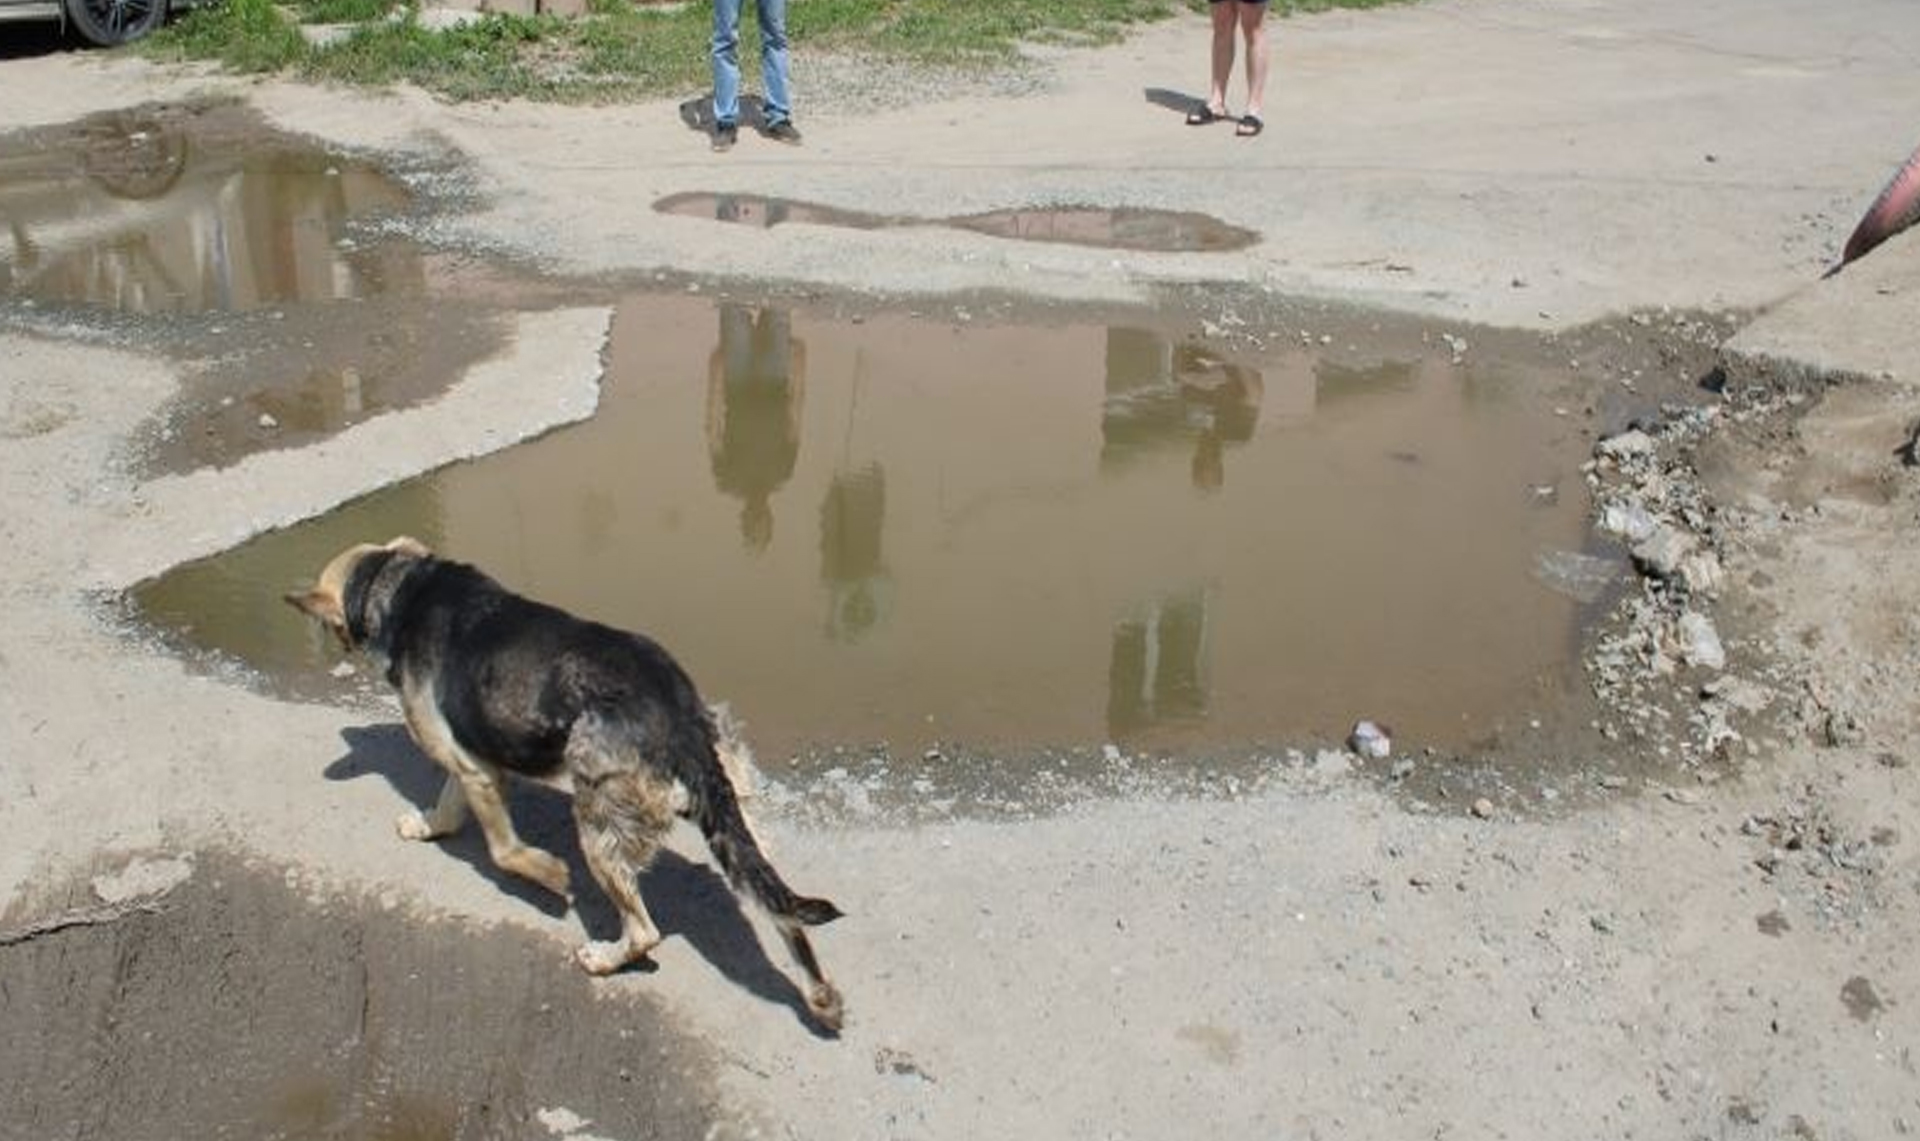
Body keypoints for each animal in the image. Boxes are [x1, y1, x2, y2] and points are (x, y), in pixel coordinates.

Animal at [286, 537, 848, 1029]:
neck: (397, 582)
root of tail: (681, 719)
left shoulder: (475, 768)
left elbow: (504, 851)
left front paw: (549, 875)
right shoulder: (469, 761)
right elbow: (446, 807)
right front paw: (427, 827)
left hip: (598, 823)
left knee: (646, 932)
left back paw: (604, 959)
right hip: (737, 824)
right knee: (782, 911)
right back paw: (820, 997)